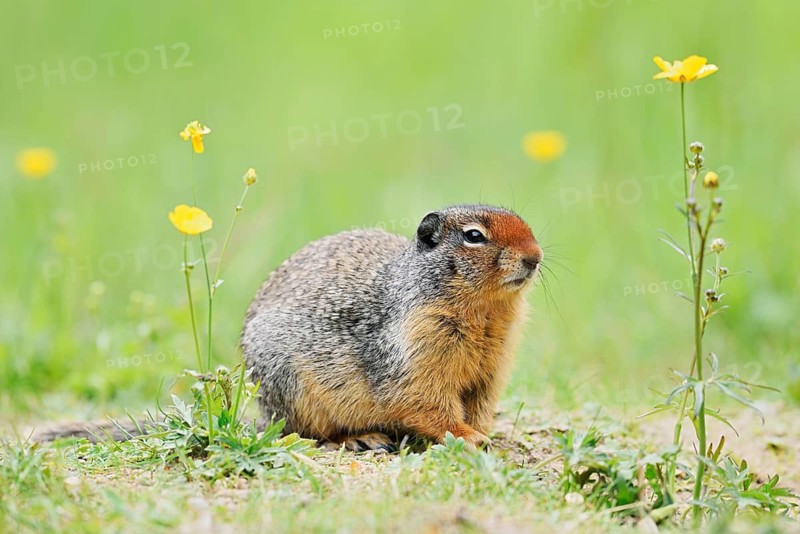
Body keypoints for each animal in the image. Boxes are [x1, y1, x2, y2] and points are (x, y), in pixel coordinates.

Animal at [241, 204, 542, 451]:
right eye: (474, 236)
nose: (535, 256)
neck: (487, 312)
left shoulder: (493, 367)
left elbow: (480, 405)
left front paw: (483, 435)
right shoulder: (416, 349)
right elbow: (425, 400)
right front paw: (469, 437)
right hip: (292, 389)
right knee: (305, 433)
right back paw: (363, 438)